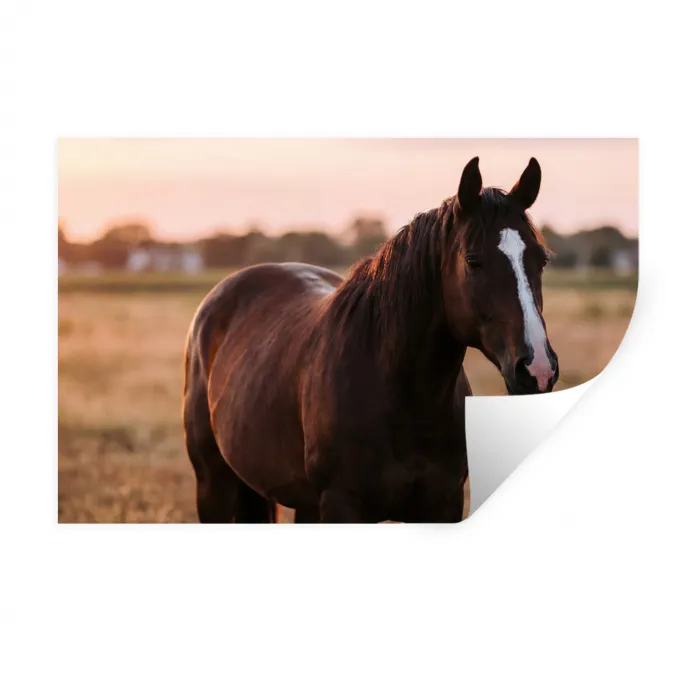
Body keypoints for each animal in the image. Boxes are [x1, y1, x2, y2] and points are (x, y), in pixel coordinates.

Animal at [183, 156, 559, 523]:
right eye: (473, 261)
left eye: (541, 259)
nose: (537, 369)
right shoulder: (342, 505)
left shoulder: (443, 504)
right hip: (213, 485)